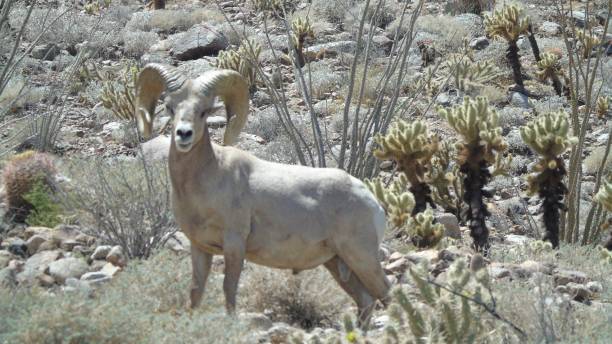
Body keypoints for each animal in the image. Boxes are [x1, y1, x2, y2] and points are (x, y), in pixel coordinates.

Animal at [136, 63, 390, 326]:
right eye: (170, 107)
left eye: (204, 111)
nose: (183, 134)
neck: (208, 178)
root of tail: (372, 202)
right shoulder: (200, 248)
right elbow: (196, 291)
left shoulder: (234, 244)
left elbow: (229, 288)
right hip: (338, 262)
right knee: (366, 301)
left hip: (362, 257)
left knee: (387, 294)